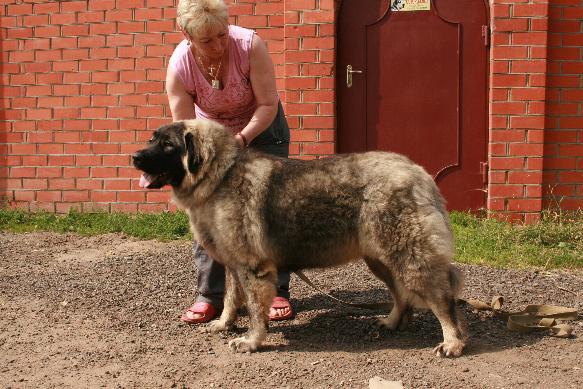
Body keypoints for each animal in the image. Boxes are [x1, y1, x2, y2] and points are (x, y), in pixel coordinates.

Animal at [133, 119, 470, 356]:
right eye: (152, 139)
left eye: (168, 145)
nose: (134, 156)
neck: (220, 177)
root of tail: (419, 173)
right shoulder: (233, 265)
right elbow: (231, 298)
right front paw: (223, 324)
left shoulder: (252, 267)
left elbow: (255, 309)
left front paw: (252, 341)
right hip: (380, 258)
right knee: (401, 293)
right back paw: (391, 321)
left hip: (409, 255)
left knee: (442, 299)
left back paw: (452, 342)